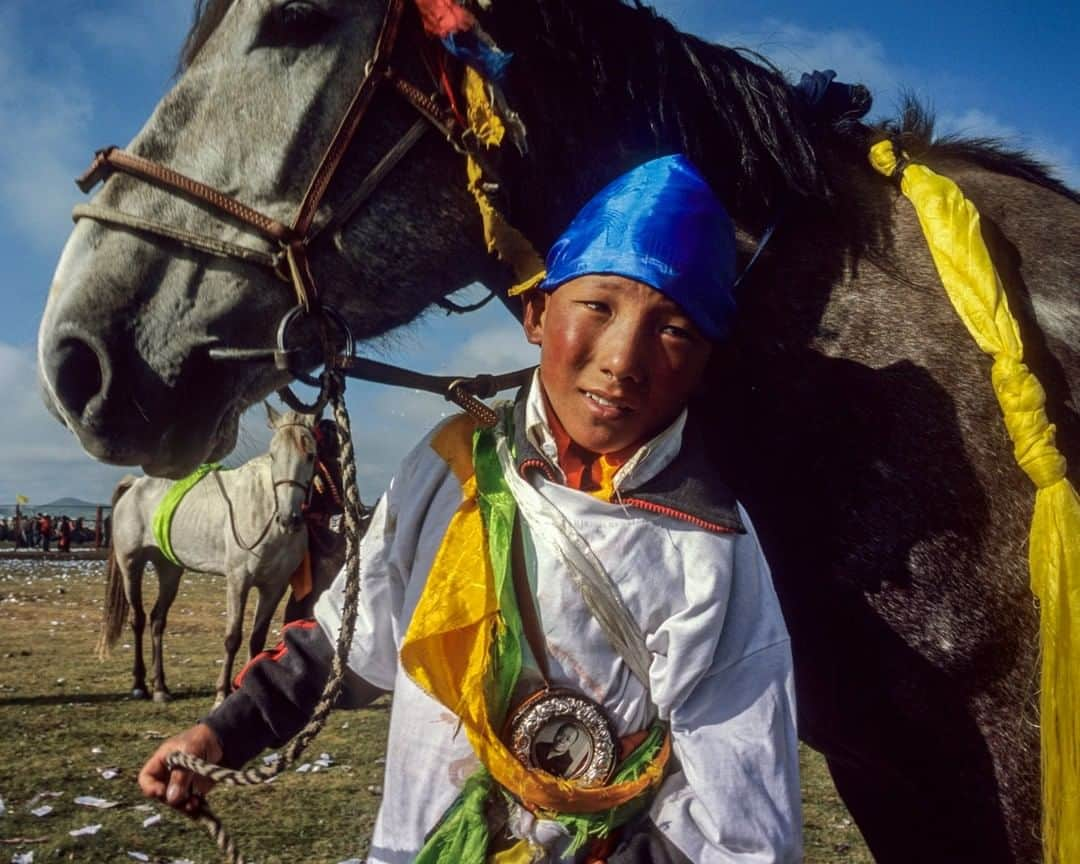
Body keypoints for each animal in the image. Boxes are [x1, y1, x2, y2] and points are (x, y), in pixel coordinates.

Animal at [97, 403, 317, 699]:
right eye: (273, 456)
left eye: (311, 455)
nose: (289, 519)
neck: (264, 512)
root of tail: (134, 485)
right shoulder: (238, 581)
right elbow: (233, 637)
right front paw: (222, 691)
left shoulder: (275, 587)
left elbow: (256, 639)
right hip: (130, 564)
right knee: (138, 619)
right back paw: (139, 685)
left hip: (169, 569)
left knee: (157, 620)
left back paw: (160, 687)